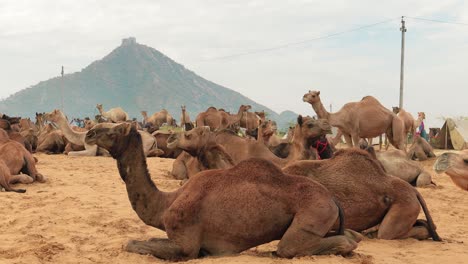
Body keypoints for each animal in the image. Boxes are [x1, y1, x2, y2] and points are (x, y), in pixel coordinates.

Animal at [84, 122, 360, 260]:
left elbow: (130, 243)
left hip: (314, 211)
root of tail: (332, 200)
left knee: (291, 248)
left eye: (115, 129)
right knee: (349, 236)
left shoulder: (185, 244)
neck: (166, 203)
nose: (89, 133)